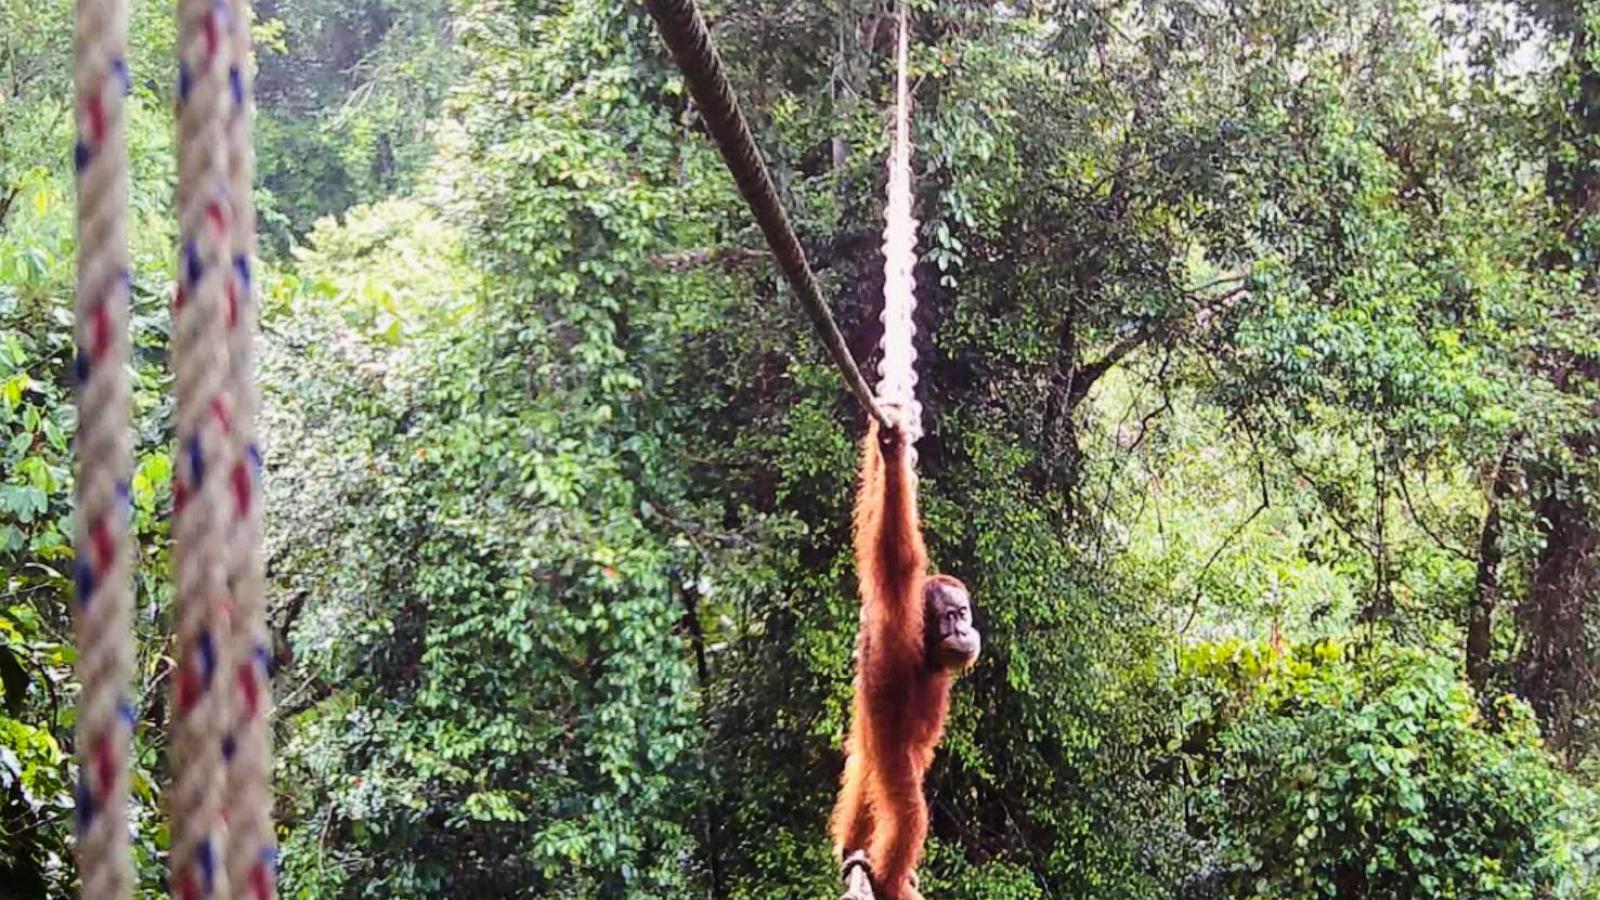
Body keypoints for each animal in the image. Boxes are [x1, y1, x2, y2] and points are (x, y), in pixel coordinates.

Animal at [830, 403, 980, 900]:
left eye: (965, 613)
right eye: (951, 616)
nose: (965, 630)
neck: (927, 653)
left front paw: (887, 444)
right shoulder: (898, 616)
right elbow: (895, 555)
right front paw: (893, 454)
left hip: (867, 744)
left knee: (861, 776)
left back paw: (852, 851)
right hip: (889, 755)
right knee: (908, 811)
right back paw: (890, 880)